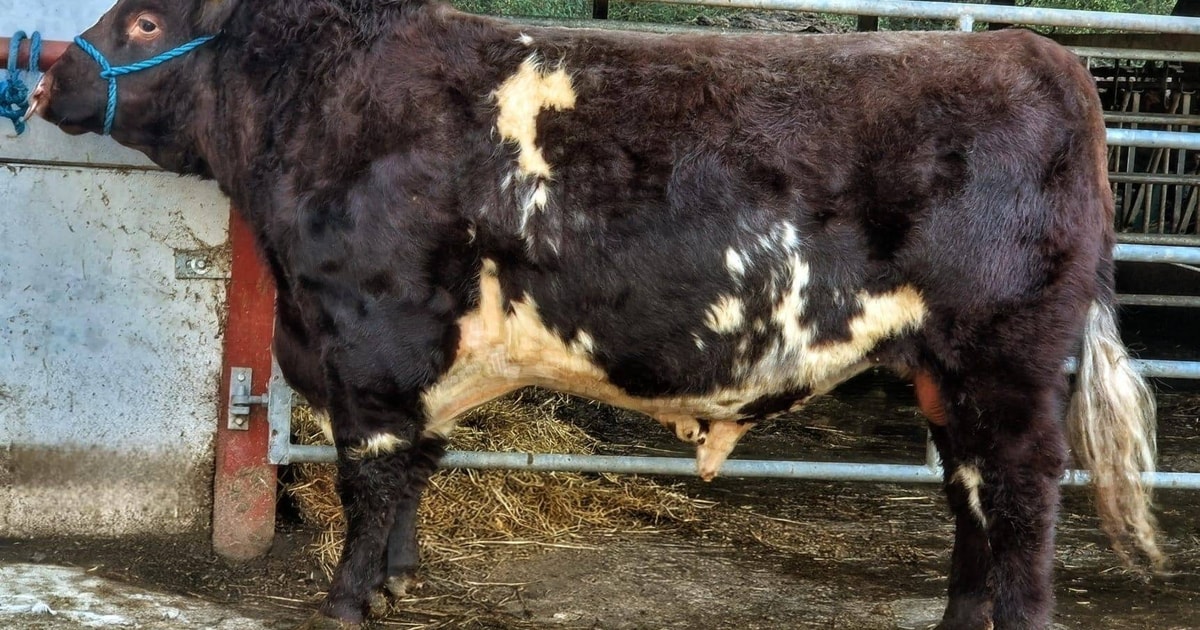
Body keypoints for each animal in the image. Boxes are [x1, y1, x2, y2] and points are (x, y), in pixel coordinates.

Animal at [29, 1, 1163, 628]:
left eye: (143, 21)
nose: (48, 76)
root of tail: (1043, 57)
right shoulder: (420, 360)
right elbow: (417, 473)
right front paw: (394, 584)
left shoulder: (372, 334)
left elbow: (371, 478)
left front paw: (349, 601)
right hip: (942, 372)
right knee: (972, 503)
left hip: (1006, 362)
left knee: (1021, 503)